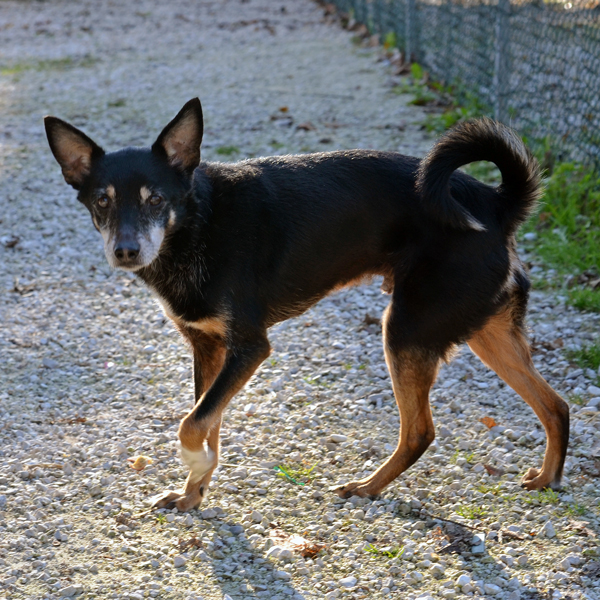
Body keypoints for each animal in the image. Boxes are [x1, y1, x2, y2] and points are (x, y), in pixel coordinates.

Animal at [44, 98, 568, 510]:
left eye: (155, 200)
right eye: (102, 201)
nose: (126, 251)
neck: (198, 223)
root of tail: (495, 204)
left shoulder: (250, 348)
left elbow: (192, 425)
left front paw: (195, 464)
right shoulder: (208, 348)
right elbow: (209, 420)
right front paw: (194, 491)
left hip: (406, 330)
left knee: (420, 431)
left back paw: (367, 487)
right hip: (483, 332)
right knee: (556, 406)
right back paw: (547, 478)